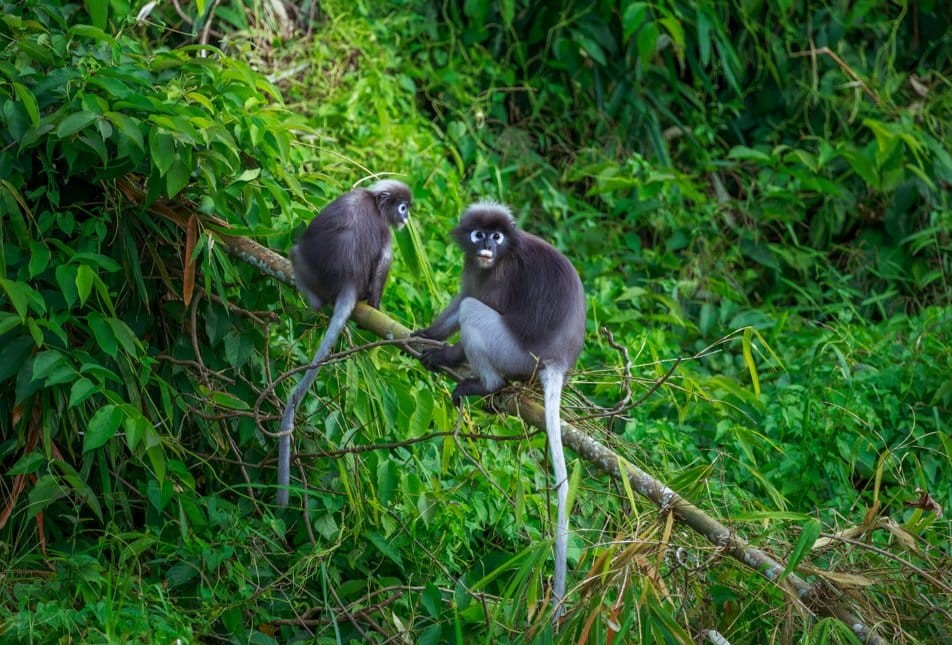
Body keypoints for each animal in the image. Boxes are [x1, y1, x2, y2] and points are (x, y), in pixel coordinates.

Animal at [276, 179, 410, 506]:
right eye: (403, 207)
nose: (407, 217)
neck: (374, 201)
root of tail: (348, 281)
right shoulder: (385, 229)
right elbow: (384, 261)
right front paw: (376, 304)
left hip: (309, 270)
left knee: (296, 253)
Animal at [416, 203, 588, 620]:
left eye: (496, 237)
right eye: (479, 234)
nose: (487, 247)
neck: (499, 257)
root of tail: (558, 360)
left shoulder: (502, 275)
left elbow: (474, 303)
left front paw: (446, 354)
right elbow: (460, 297)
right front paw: (428, 334)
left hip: (513, 352)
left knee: (475, 312)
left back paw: (486, 384)